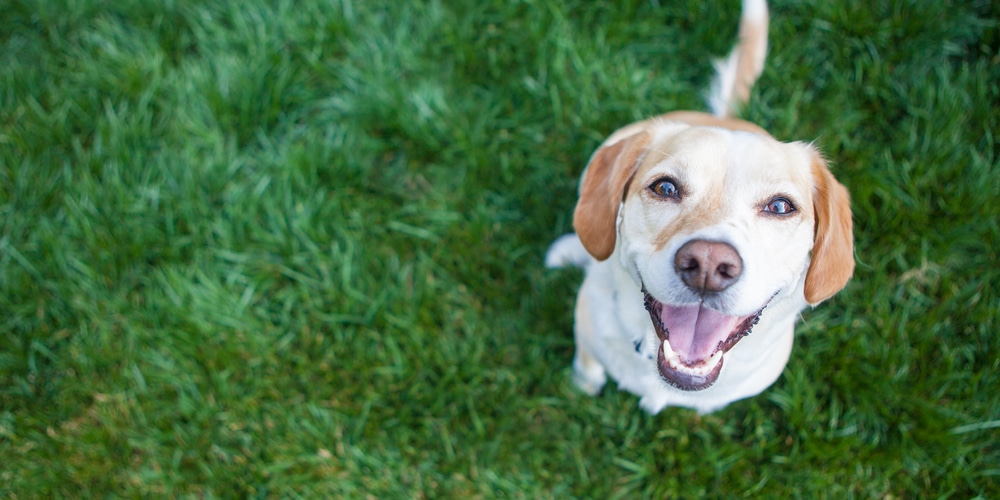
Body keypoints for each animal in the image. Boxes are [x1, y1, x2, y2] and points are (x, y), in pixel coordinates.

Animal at [544, 0, 856, 414]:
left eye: (780, 206)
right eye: (665, 187)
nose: (708, 265)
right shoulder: (588, 333)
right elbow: (588, 367)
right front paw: (583, 386)